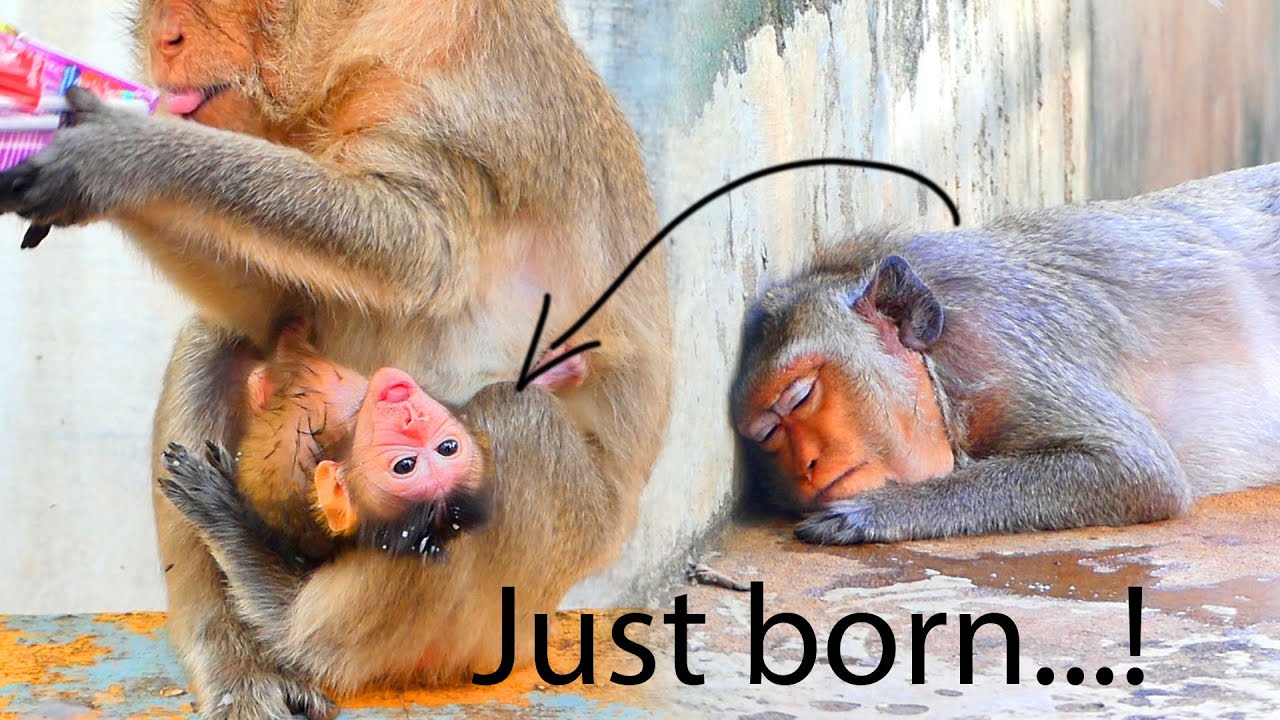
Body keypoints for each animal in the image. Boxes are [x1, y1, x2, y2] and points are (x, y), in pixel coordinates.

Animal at [0, 1, 672, 717]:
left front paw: (120, 153)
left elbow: (416, 247)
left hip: (522, 595)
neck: (357, 35)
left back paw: (289, 620)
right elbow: (272, 305)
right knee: (219, 340)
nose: (165, 40)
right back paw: (239, 660)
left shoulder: (449, 83)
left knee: (516, 425)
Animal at [733, 163, 1280, 545]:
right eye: (767, 434)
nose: (806, 466)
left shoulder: (997, 346)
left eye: (801, 395)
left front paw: (880, 512)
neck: (939, 362)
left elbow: (1136, 468)